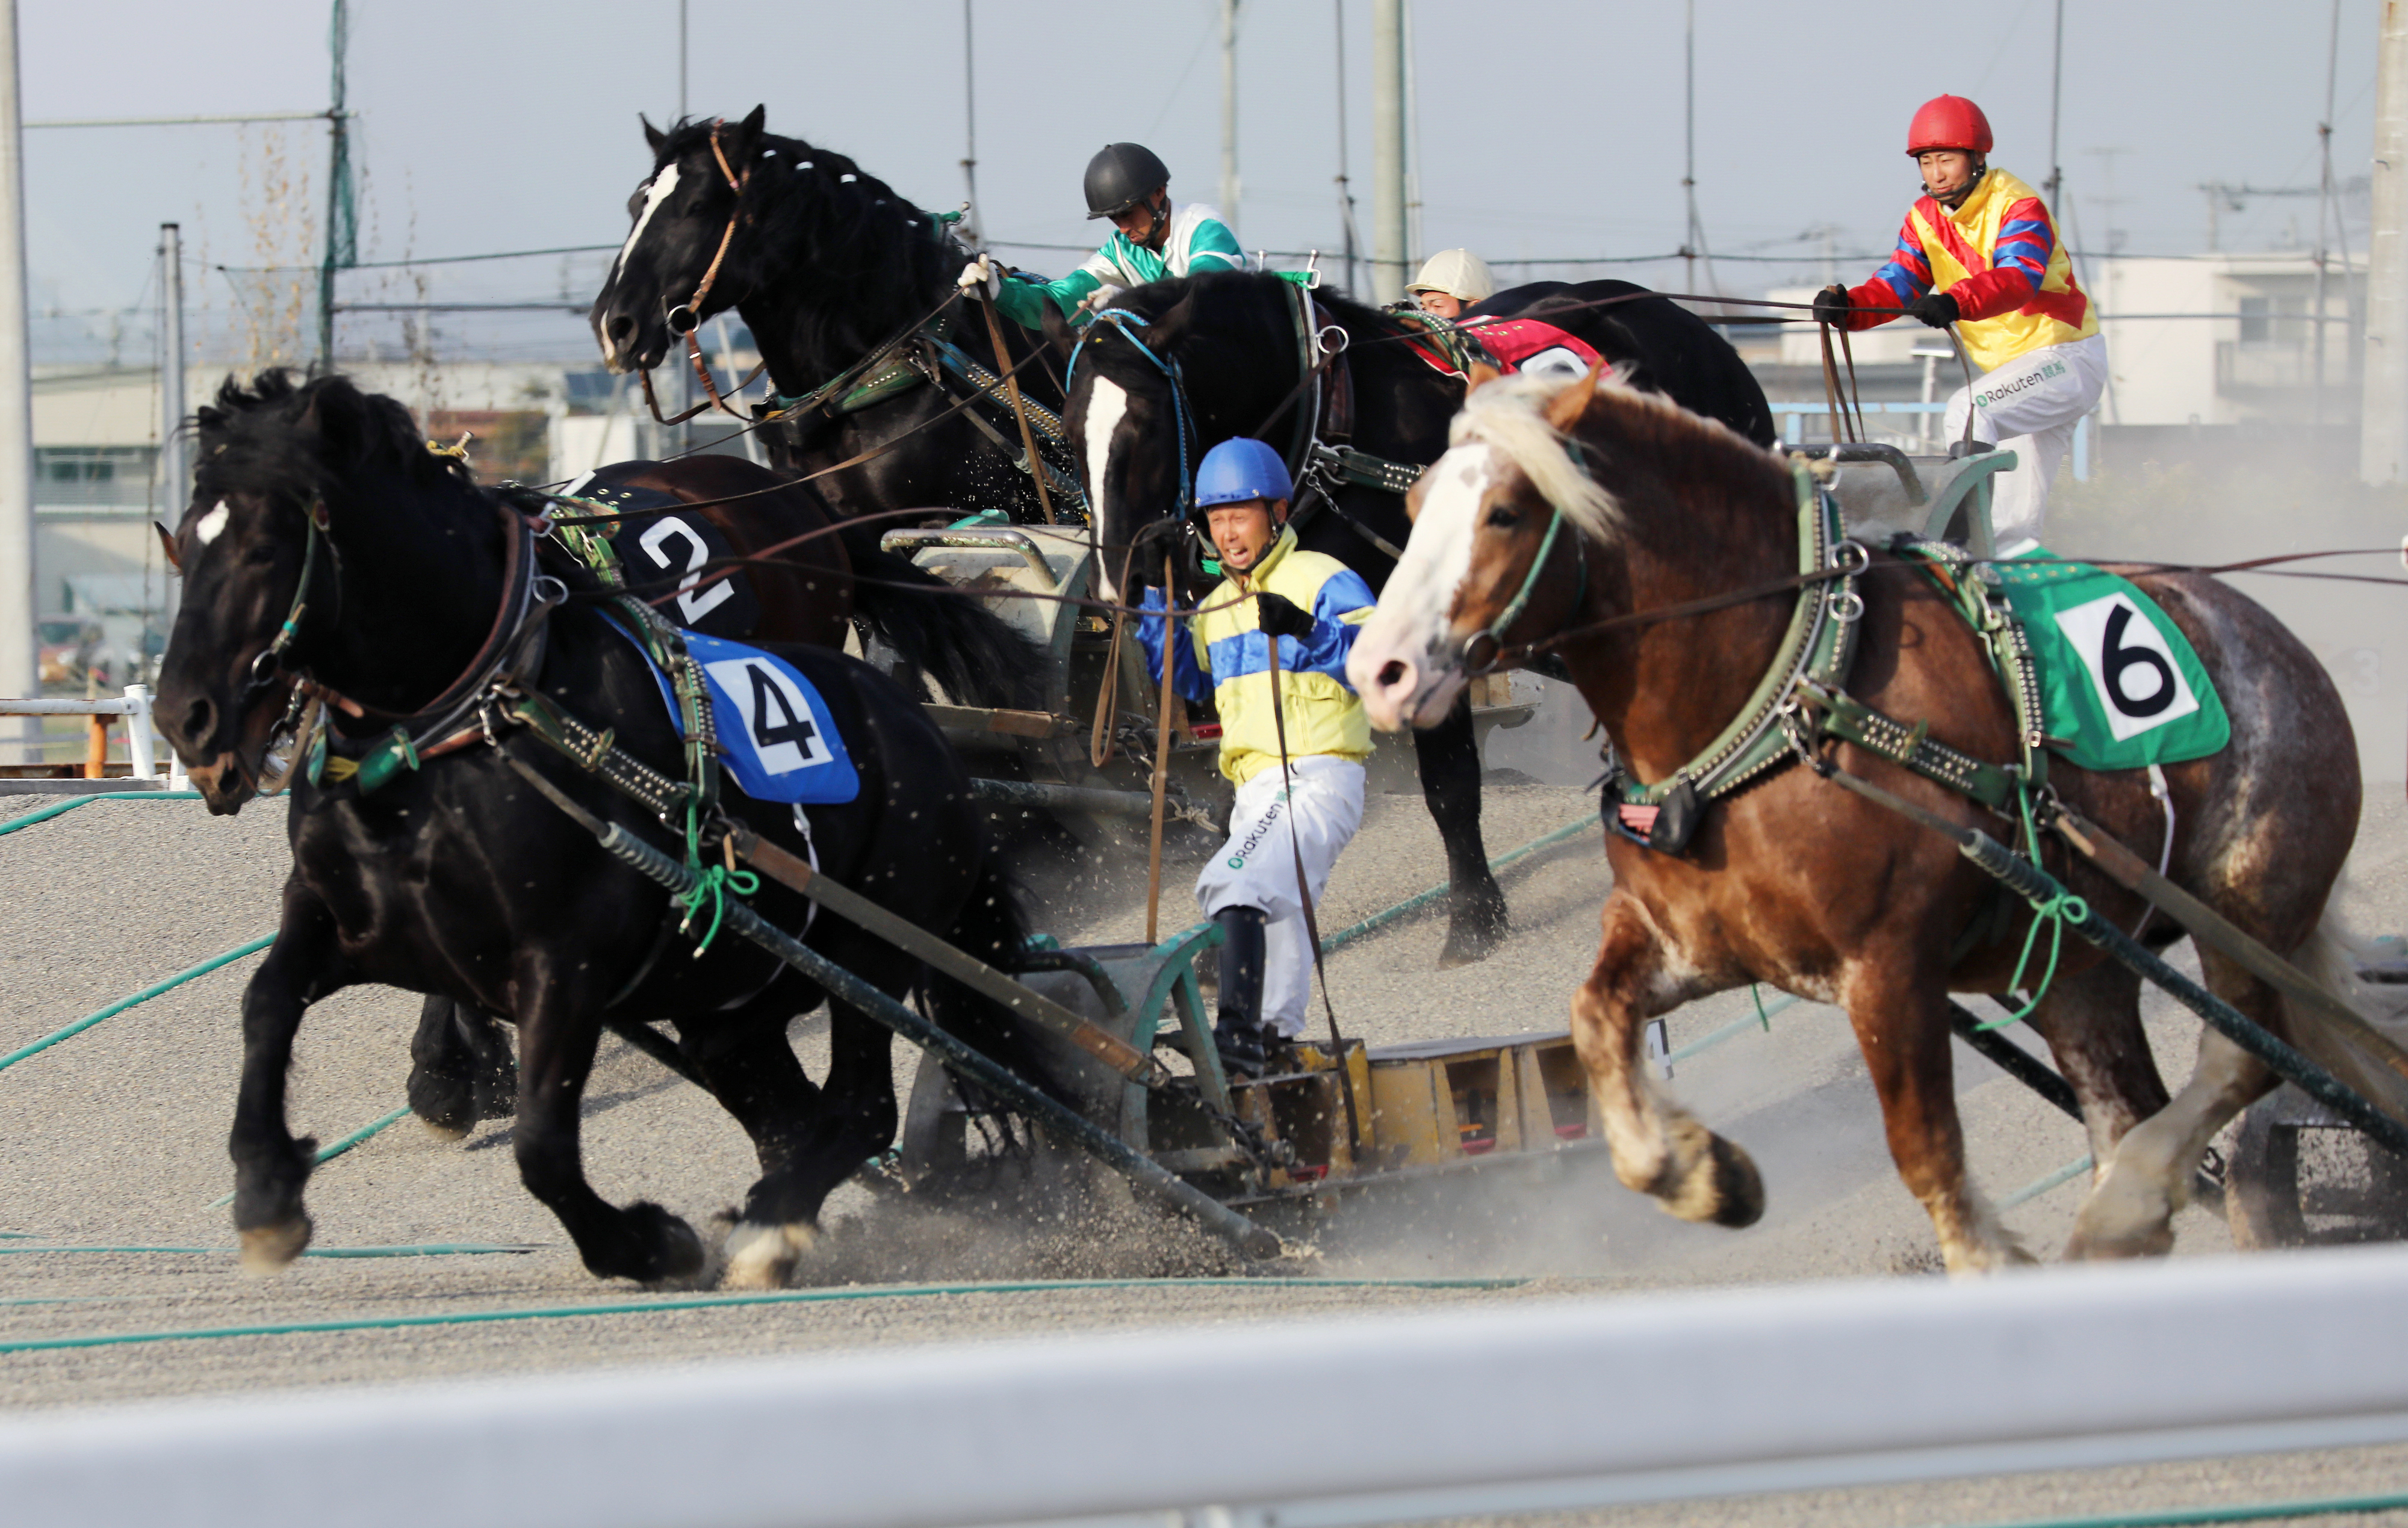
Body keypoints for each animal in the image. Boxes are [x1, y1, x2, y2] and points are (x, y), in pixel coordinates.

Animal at [154, 372, 1047, 1289]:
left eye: (265, 549)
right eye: (183, 544)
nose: (185, 719)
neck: (462, 720)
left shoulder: (564, 958)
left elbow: (542, 1141)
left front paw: (639, 1235)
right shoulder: (346, 914)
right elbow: (267, 1000)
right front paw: (270, 1185)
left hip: (863, 942)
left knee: (860, 1104)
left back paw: (768, 1227)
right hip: (738, 992)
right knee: (789, 1105)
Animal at [1054, 269, 1774, 967]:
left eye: (1145, 424)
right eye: (1067, 430)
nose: (1117, 577)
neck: (1341, 430)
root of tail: (1689, 325)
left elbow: (1449, 780)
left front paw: (1475, 917)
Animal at [1346, 365, 2363, 1271]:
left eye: (1505, 513)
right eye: (1415, 502)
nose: (1378, 668)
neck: (1785, 692)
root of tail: (2277, 640)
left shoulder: (1890, 970)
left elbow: (1930, 1157)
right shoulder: (1693, 942)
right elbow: (1596, 1022)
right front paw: (1704, 1172)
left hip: (2244, 906)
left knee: (2241, 1059)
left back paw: (2133, 1198)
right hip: (2079, 968)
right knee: (2131, 1102)